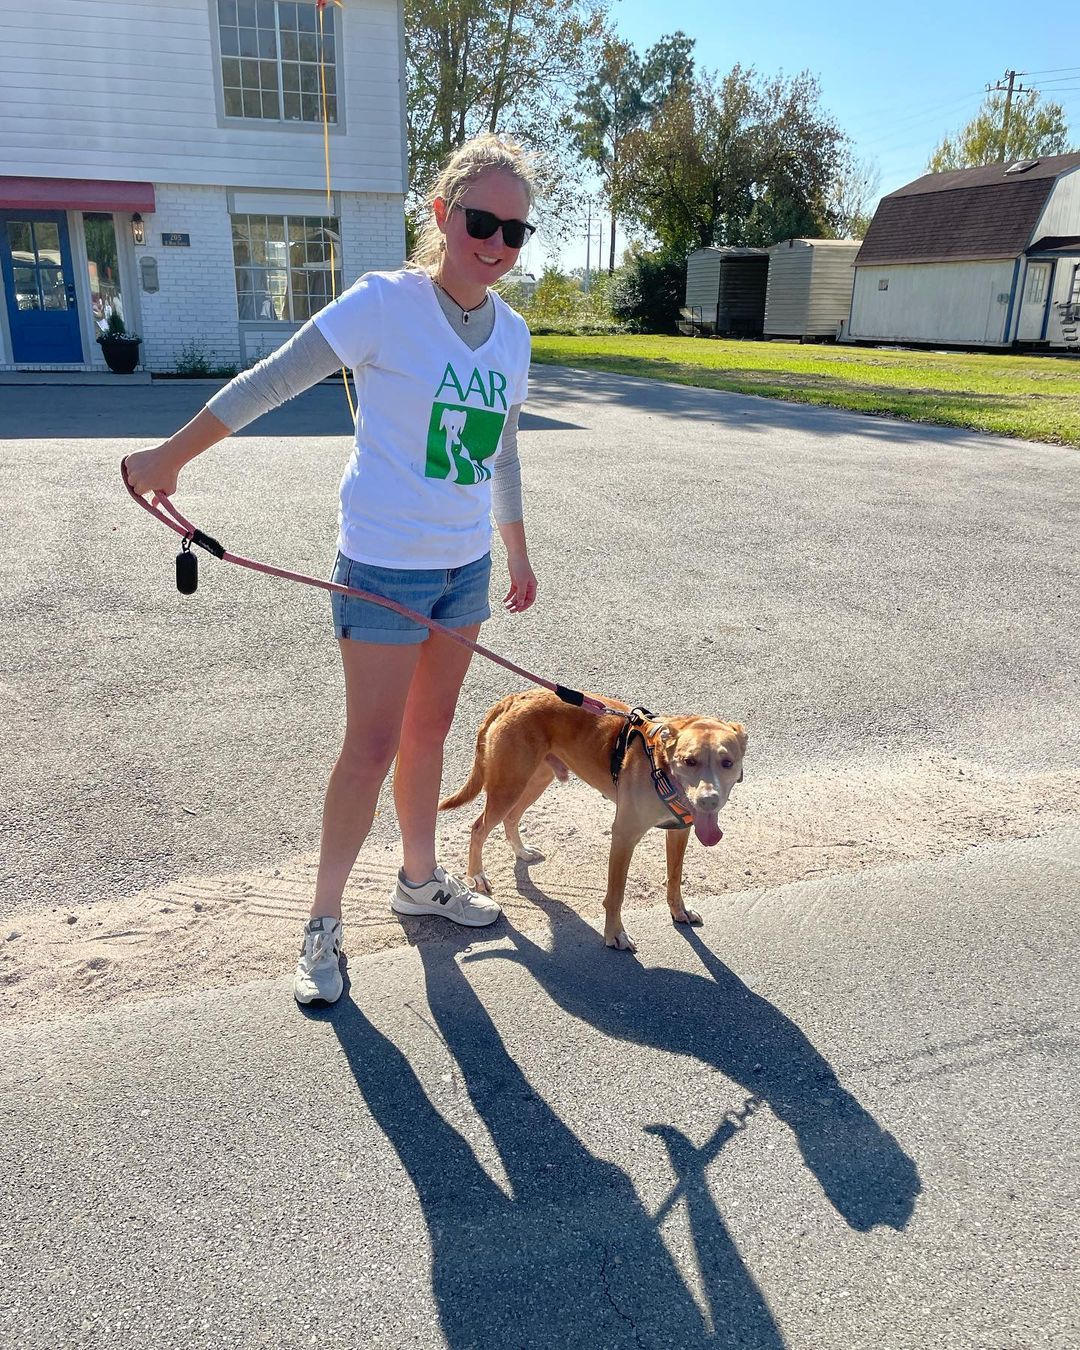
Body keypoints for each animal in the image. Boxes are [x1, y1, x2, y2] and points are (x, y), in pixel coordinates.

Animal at [434, 696, 745, 950]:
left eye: (727, 763)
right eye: (689, 761)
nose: (709, 801)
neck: (660, 765)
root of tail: (516, 697)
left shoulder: (681, 831)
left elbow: (675, 877)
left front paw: (678, 910)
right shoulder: (623, 836)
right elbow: (616, 894)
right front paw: (615, 934)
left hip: (535, 780)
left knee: (512, 818)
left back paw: (521, 851)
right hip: (509, 786)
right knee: (478, 828)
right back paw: (477, 875)